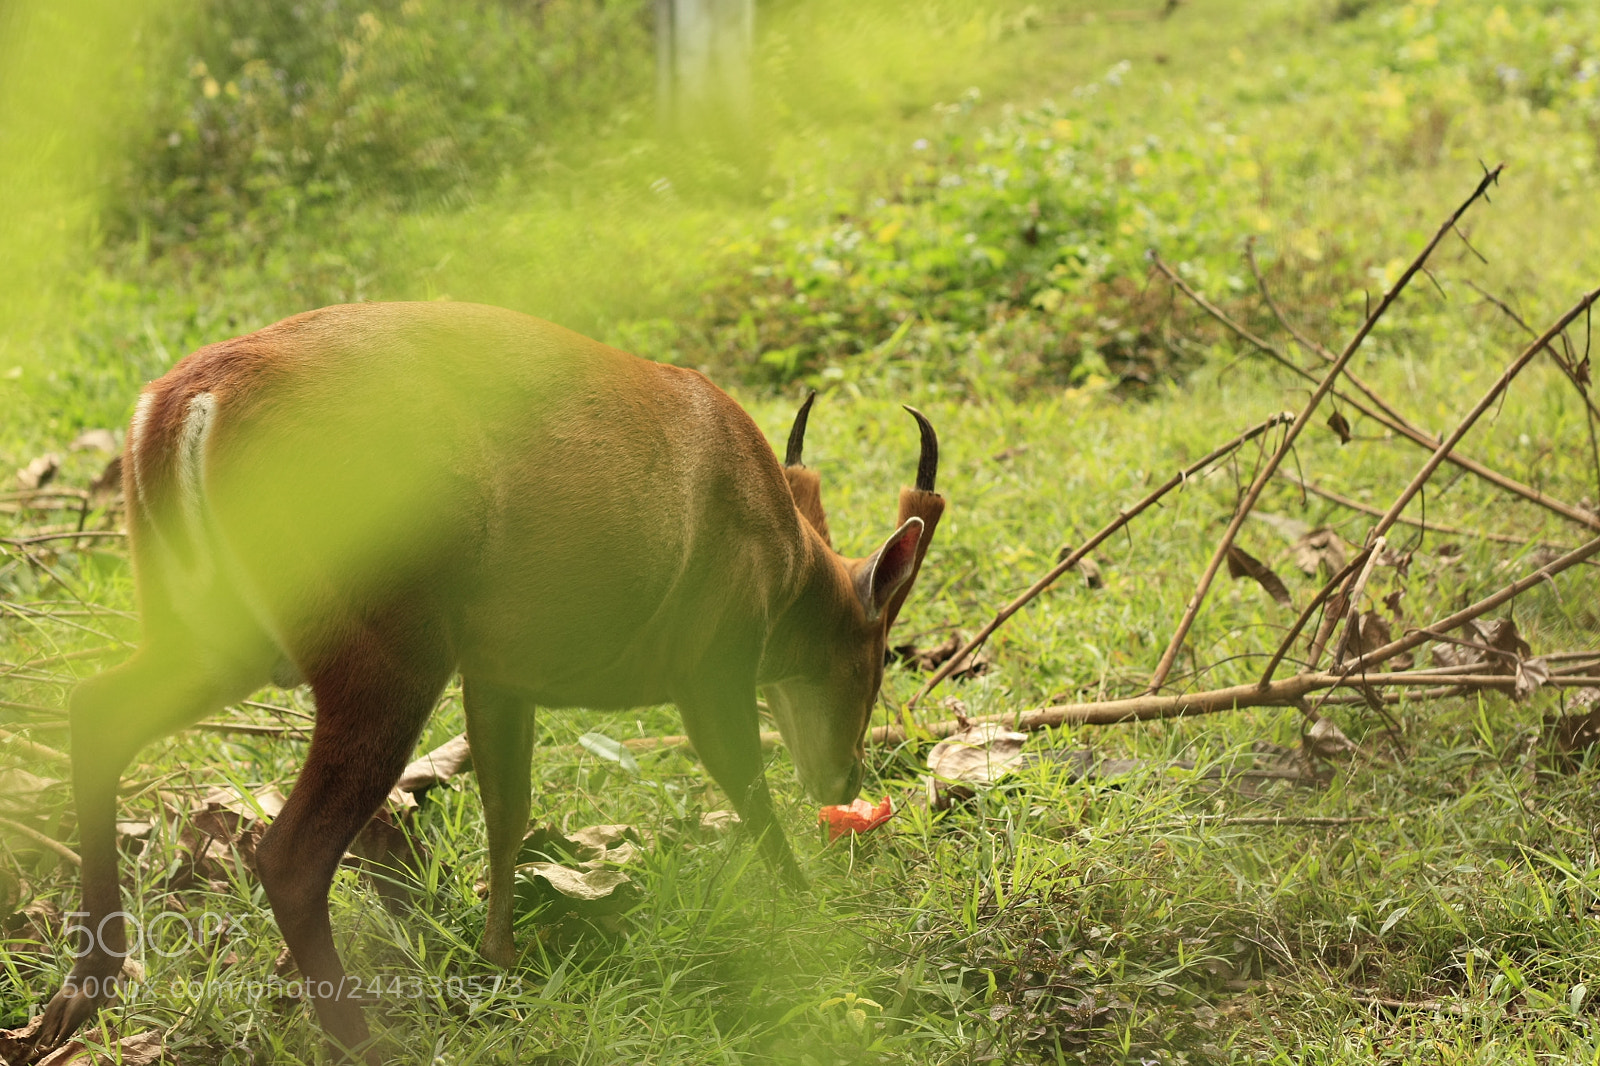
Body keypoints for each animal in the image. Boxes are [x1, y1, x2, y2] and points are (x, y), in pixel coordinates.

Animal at [31, 301, 944, 1064]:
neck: (785, 559)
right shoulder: (711, 657)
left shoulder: (502, 671)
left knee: (96, 711)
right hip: (385, 650)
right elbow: (742, 782)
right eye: (878, 653)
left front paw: (501, 957)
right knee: (289, 853)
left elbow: (509, 808)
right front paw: (809, 912)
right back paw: (363, 1041)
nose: (846, 777)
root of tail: (189, 397)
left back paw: (83, 989)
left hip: (218, 630)